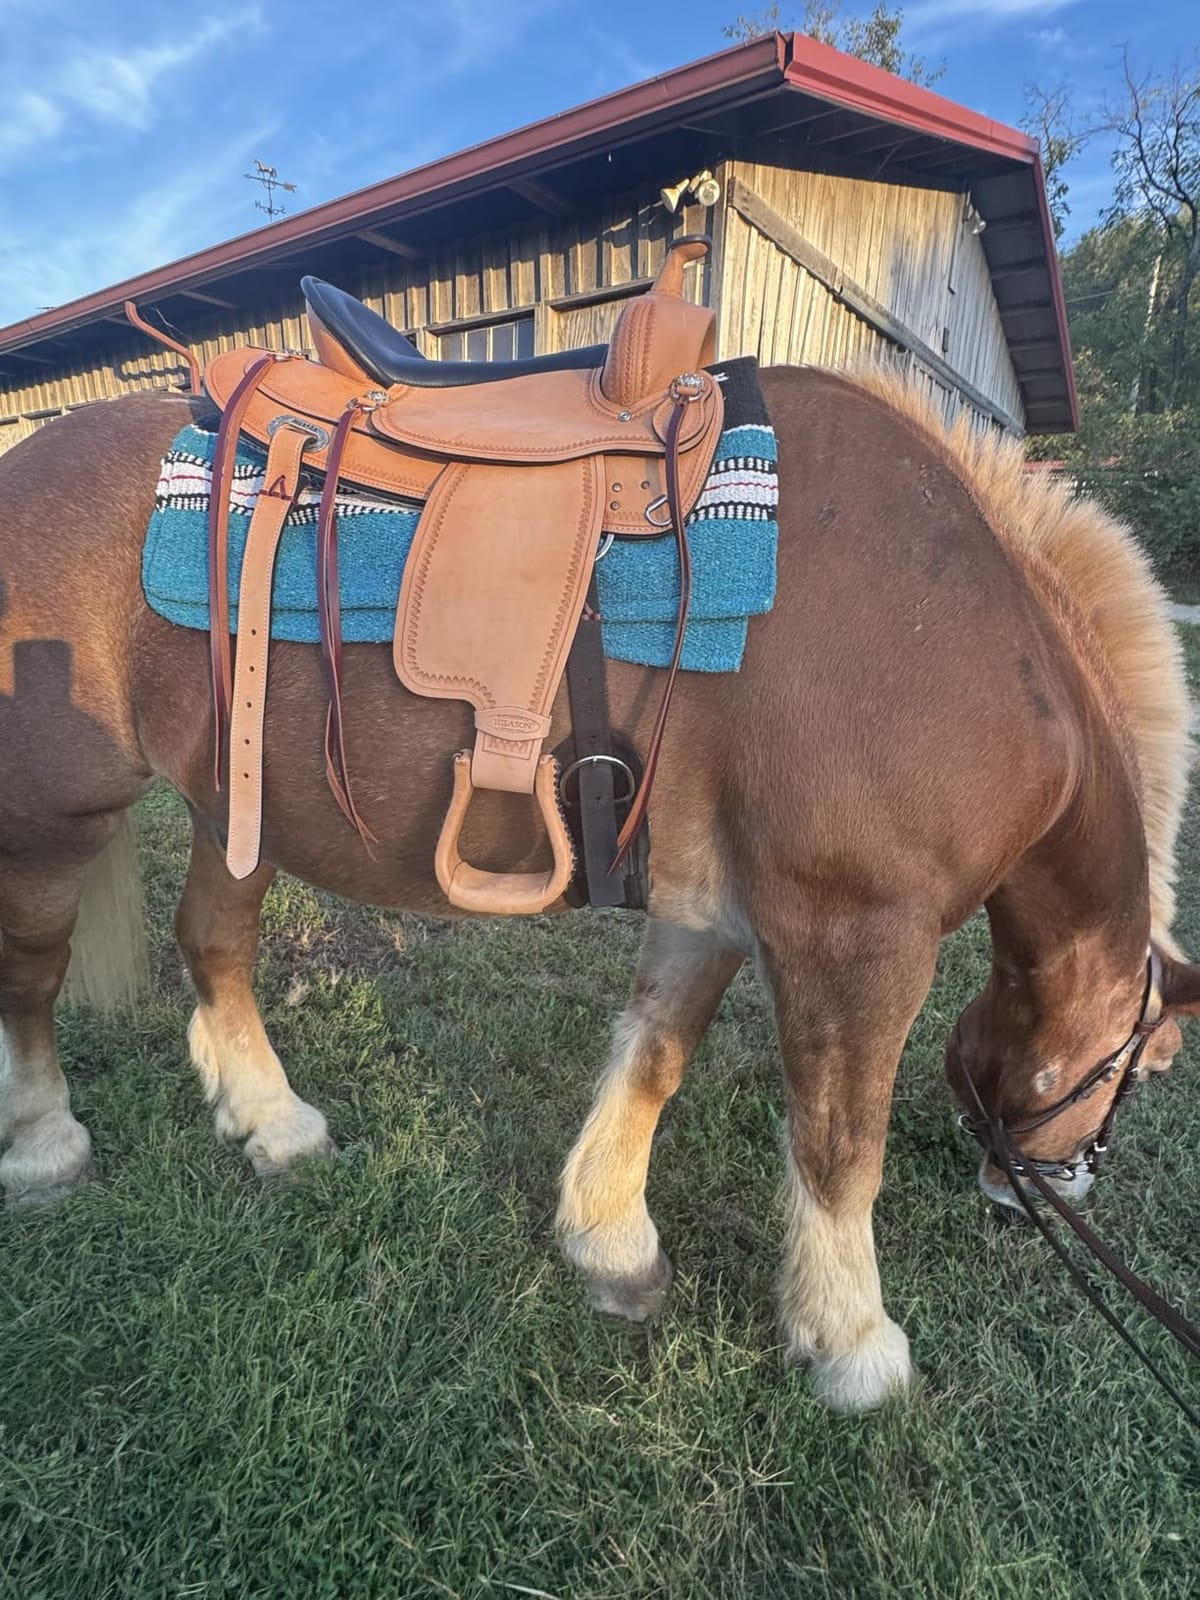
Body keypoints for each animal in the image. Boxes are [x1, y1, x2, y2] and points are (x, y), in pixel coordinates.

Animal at [0, 362, 1195, 1414]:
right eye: (1146, 1069)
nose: (1047, 1190)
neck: (967, 639)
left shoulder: (709, 912)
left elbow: (654, 1056)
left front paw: (608, 1236)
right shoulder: (855, 934)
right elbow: (841, 1147)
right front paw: (851, 1342)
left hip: (232, 809)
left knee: (213, 944)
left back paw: (271, 1120)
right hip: (53, 817)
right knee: (32, 977)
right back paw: (46, 1142)